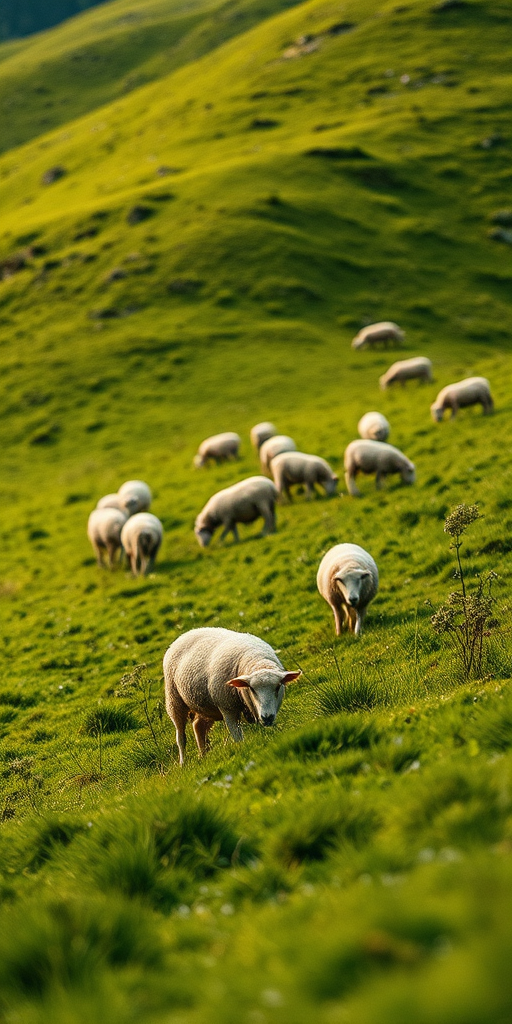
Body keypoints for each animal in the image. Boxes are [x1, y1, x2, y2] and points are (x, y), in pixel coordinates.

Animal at [164, 627, 301, 763]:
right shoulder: (227, 708)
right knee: (181, 736)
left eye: (278, 687)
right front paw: (243, 750)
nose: (267, 717)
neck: (257, 659)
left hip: (205, 706)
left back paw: (203, 755)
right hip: (174, 700)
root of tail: (187, 632)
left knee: (198, 726)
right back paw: (183, 762)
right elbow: (237, 736)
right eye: (252, 689)